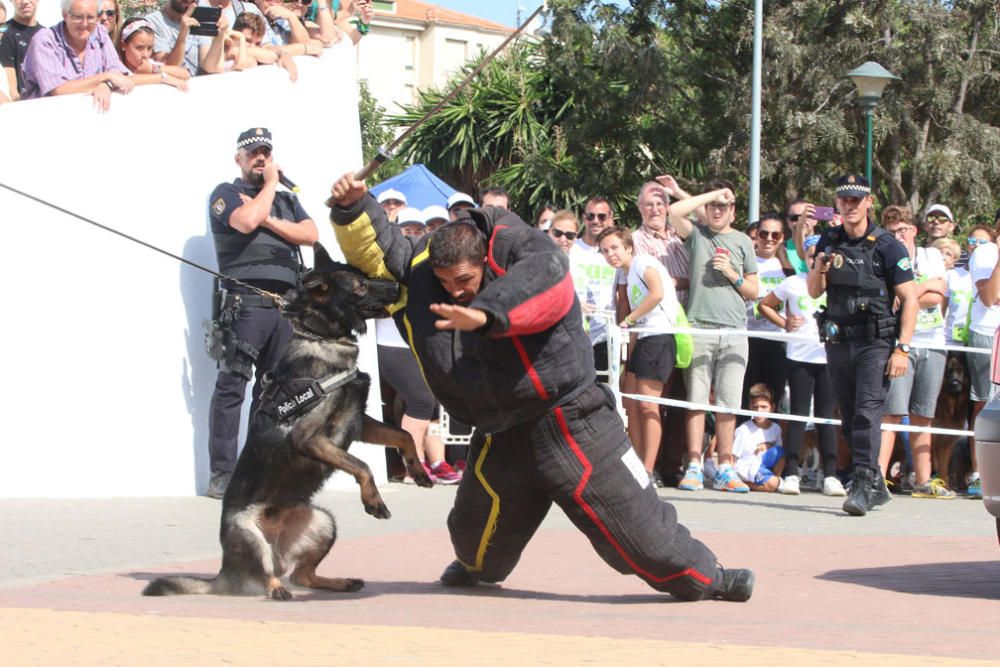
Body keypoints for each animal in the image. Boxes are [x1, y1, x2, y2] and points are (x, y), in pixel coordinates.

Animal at [143, 244, 432, 600]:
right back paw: (276, 589)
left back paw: (336, 582)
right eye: (360, 286)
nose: (398, 286)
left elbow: (403, 434)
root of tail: (224, 571)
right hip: (248, 533)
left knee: (303, 575)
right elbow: (362, 464)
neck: (322, 339)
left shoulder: (358, 421)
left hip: (323, 522)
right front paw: (374, 499)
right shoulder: (309, 438)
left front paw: (418, 470)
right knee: (266, 575)